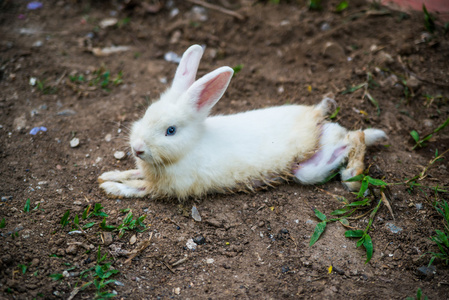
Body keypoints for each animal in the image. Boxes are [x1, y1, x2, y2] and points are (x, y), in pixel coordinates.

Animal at [98, 44, 384, 199]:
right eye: (146, 113)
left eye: (170, 131)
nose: (137, 148)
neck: (189, 148)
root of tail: (327, 126)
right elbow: (131, 173)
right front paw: (108, 175)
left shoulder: (167, 188)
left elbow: (137, 189)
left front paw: (110, 188)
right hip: (310, 169)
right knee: (350, 139)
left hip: (310, 167)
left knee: (357, 137)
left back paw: (353, 176)